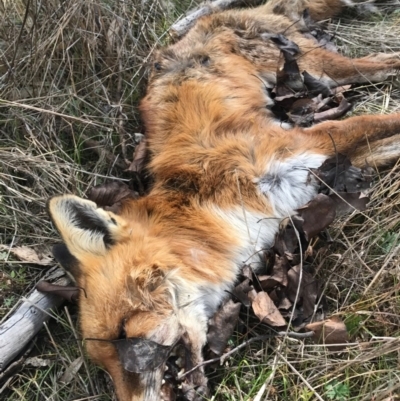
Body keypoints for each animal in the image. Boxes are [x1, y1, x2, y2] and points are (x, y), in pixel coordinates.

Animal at [46, 0, 400, 398]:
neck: (209, 201)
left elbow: (381, 121)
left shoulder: (308, 143)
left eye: (124, 331)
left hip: (321, 66)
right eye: (103, 364)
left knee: (388, 59)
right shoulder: (323, 172)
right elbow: (387, 146)